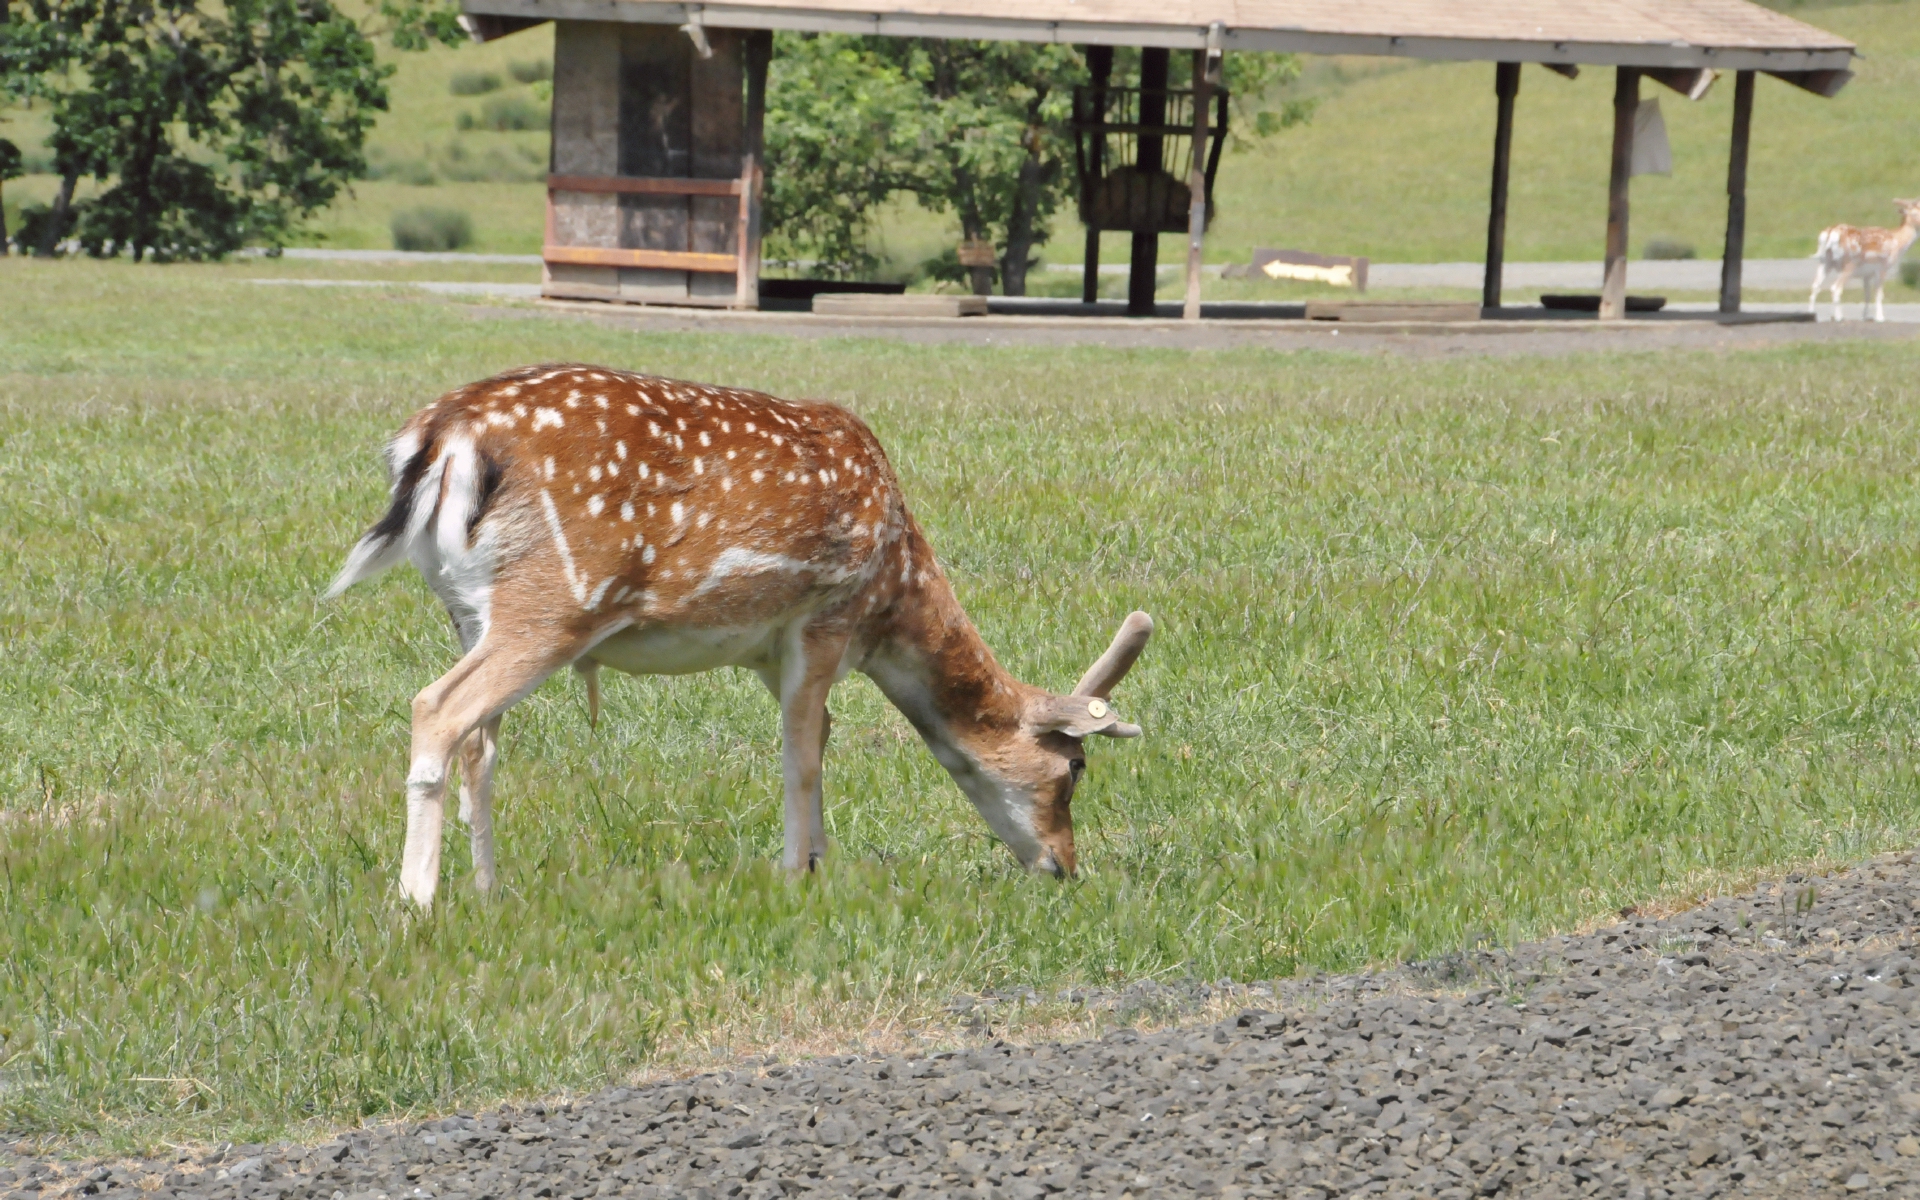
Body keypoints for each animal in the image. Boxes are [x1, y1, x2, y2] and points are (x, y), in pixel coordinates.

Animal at [326, 360, 1152, 902]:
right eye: (1075, 770)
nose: (1064, 867)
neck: (892, 601)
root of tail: (442, 438)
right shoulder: (824, 615)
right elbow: (801, 755)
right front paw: (795, 875)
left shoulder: (767, 650)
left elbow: (818, 737)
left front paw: (819, 862)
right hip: (555, 601)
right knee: (438, 708)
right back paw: (417, 901)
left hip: (468, 611)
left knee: (481, 743)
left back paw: (489, 890)